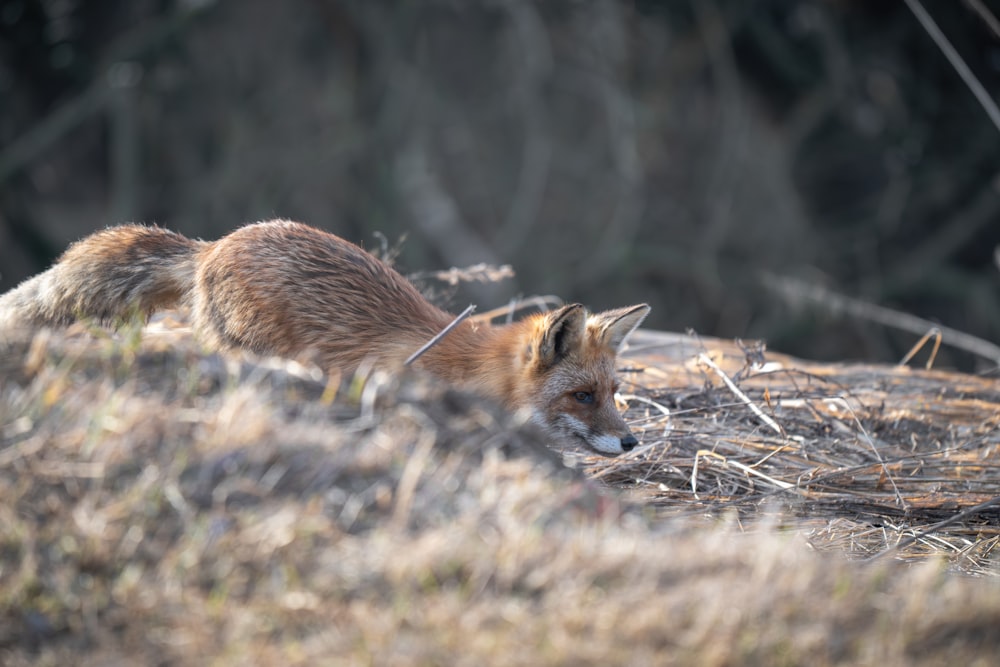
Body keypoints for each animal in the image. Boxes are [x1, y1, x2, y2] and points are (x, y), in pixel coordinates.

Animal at [0, 222, 648, 456]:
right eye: (581, 397)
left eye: (615, 393)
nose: (633, 442)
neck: (470, 371)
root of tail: (213, 245)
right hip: (250, 351)